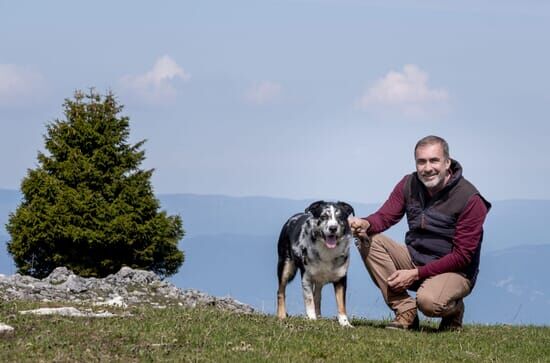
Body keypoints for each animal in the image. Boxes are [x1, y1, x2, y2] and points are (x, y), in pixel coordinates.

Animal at [278, 200, 356, 328]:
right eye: (323, 217)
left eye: (340, 217)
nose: (333, 228)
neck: (327, 250)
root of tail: (291, 219)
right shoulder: (306, 277)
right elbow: (309, 299)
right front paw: (311, 319)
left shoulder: (341, 278)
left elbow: (341, 304)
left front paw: (345, 323)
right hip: (285, 265)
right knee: (280, 291)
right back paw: (281, 316)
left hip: (319, 279)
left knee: (318, 295)